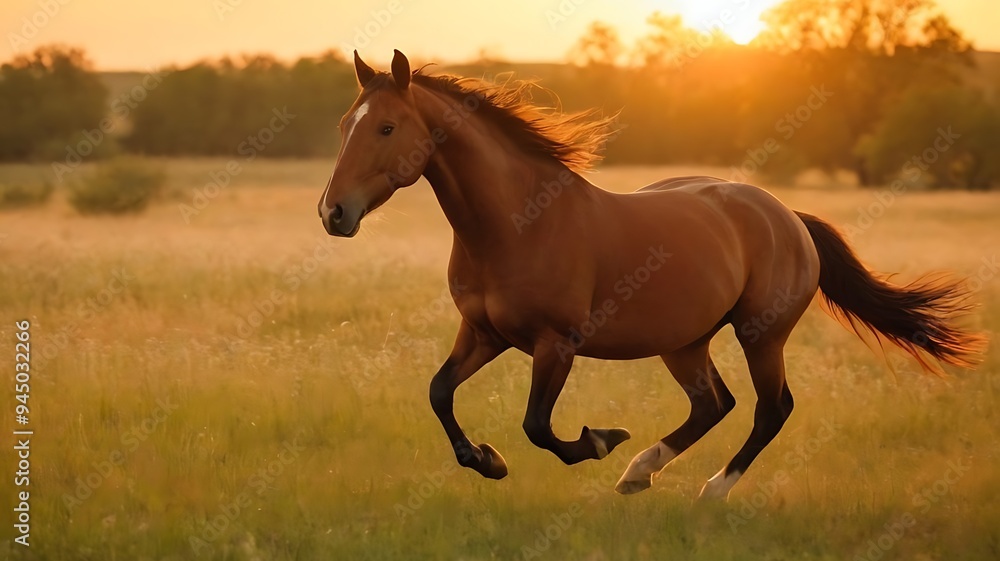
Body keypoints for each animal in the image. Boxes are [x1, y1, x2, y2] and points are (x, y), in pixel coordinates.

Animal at [318, 50, 984, 499]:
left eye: (386, 127)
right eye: (345, 125)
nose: (333, 213)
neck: (517, 222)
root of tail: (787, 216)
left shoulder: (555, 344)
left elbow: (538, 426)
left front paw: (598, 440)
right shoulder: (483, 335)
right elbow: (439, 392)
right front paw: (488, 461)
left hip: (761, 334)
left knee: (771, 407)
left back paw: (708, 488)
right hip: (684, 342)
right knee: (714, 403)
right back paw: (640, 474)